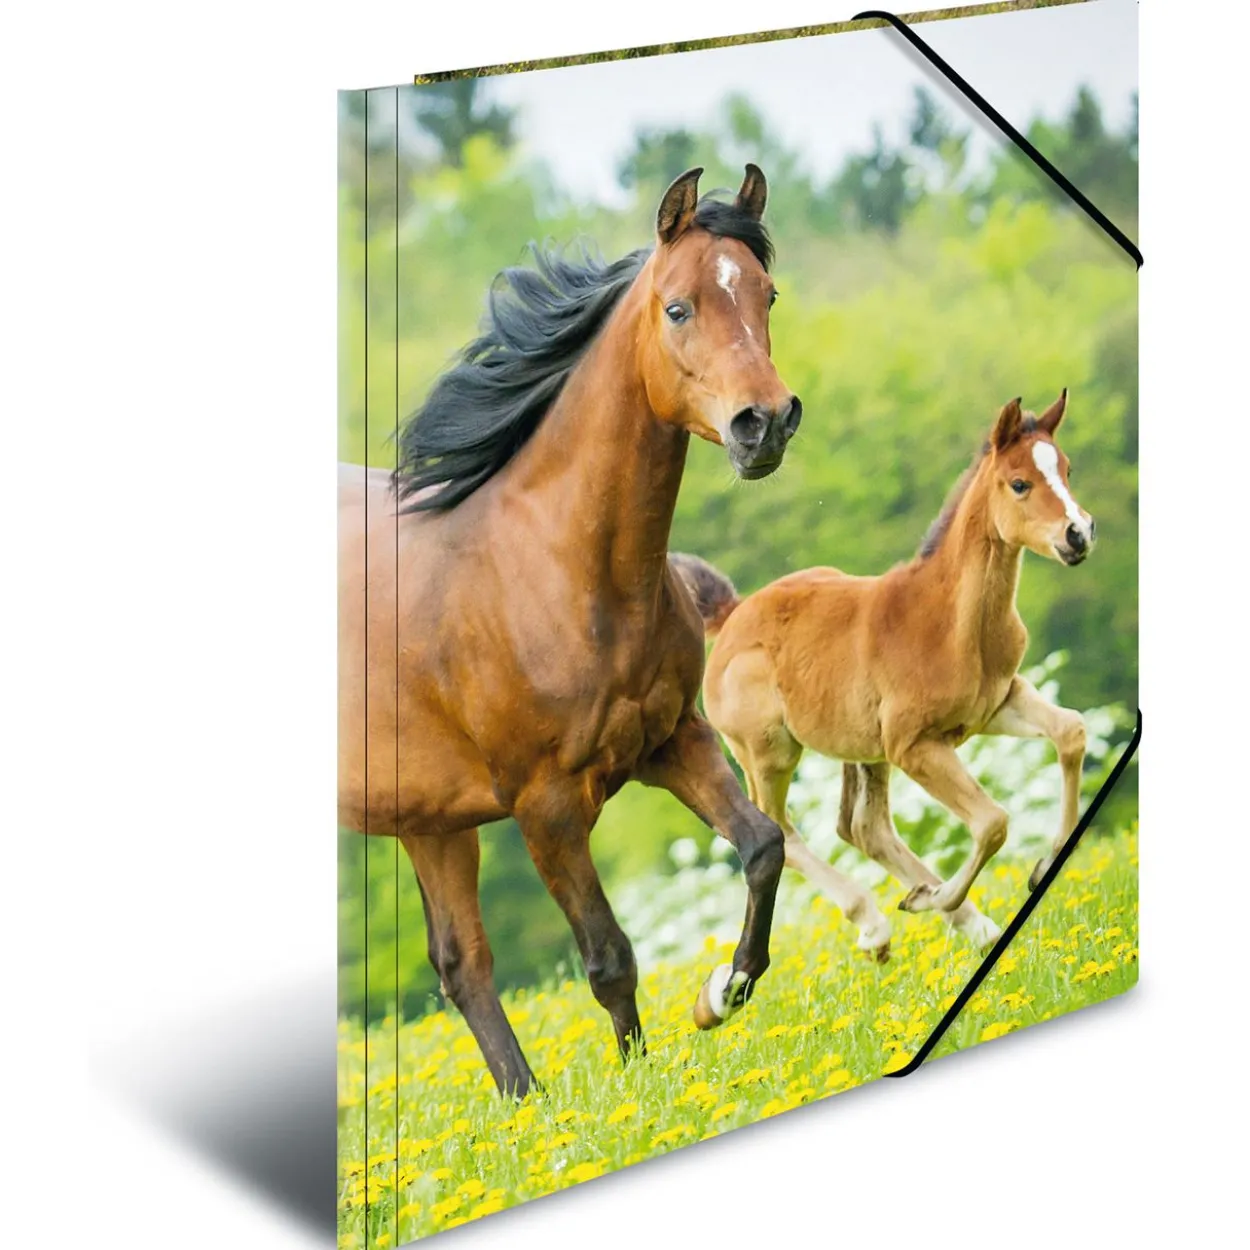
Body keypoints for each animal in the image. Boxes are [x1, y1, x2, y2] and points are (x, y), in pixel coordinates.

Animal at [338, 166, 804, 1097]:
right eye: (678, 307)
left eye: (766, 293)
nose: (764, 423)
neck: (556, 571)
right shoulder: (546, 806)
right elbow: (609, 956)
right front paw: (638, 1087)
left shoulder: (672, 740)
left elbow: (764, 846)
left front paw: (722, 992)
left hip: (428, 821)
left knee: (462, 965)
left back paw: (527, 1106)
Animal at [687, 391, 1093, 961]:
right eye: (1019, 483)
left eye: (1066, 469)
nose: (1079, 534)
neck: (950, 620)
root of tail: (731, 616)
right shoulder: (913, 745)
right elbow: (993, 822)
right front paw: (937, 896)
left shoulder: (998, 703)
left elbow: (1071, 732)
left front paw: (1040, 867)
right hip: (769, 753)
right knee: (782, 831)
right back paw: (879, 923)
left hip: (861, 747)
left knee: (862, 827)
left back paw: (971, 924)